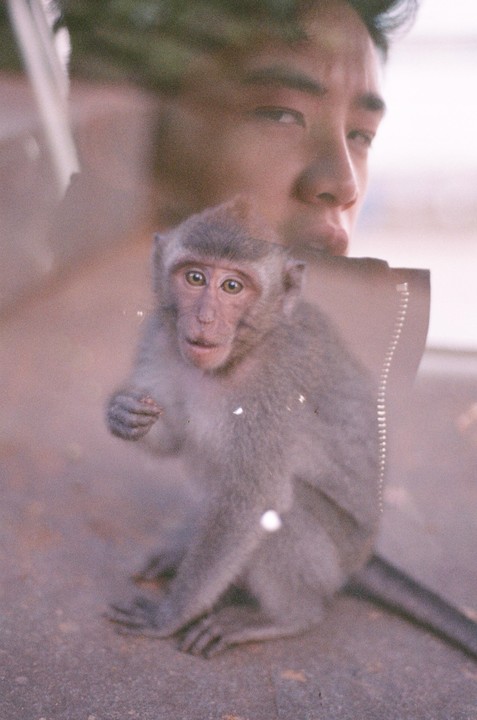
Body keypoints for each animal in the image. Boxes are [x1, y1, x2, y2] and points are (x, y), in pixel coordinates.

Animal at [106, 199, 477, 660]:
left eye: (232, 286)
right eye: (194, 277)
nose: (204, 318)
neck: (240, 354)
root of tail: (364, 557)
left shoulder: (276, 389)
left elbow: (253, 498)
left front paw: (171, 615)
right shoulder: (158, 334)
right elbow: (173, 435)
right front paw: (123, 413)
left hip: (334, 554)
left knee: (284, 509)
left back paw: (286, 616)